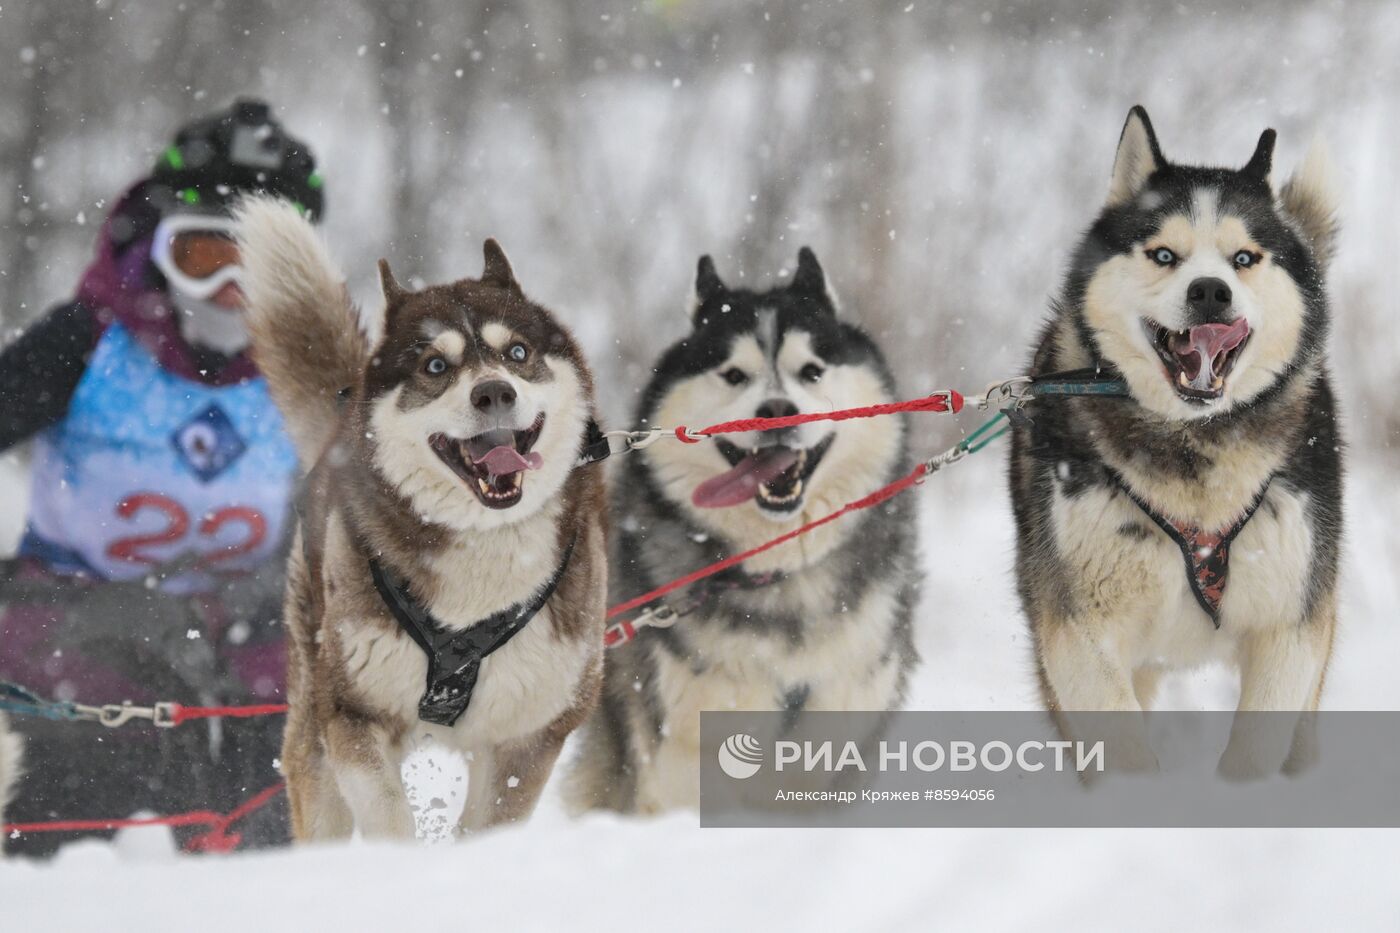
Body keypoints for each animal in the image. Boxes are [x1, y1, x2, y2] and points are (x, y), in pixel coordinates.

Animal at [236, 196, 607, 834]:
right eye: (435, 366)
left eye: (518, 353)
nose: (494, 393)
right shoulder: (352, 713)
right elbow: (390, 819)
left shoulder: (529, 735)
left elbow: (489, 824)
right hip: (315, 729)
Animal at [1013, 105, 1338, 773]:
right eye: (1164, 254)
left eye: (1244, 258)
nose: (1210, 289)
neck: (1194, 448)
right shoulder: (1078, 629)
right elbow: (1118, 744)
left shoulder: (1290, 624)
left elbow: (1257, 746)